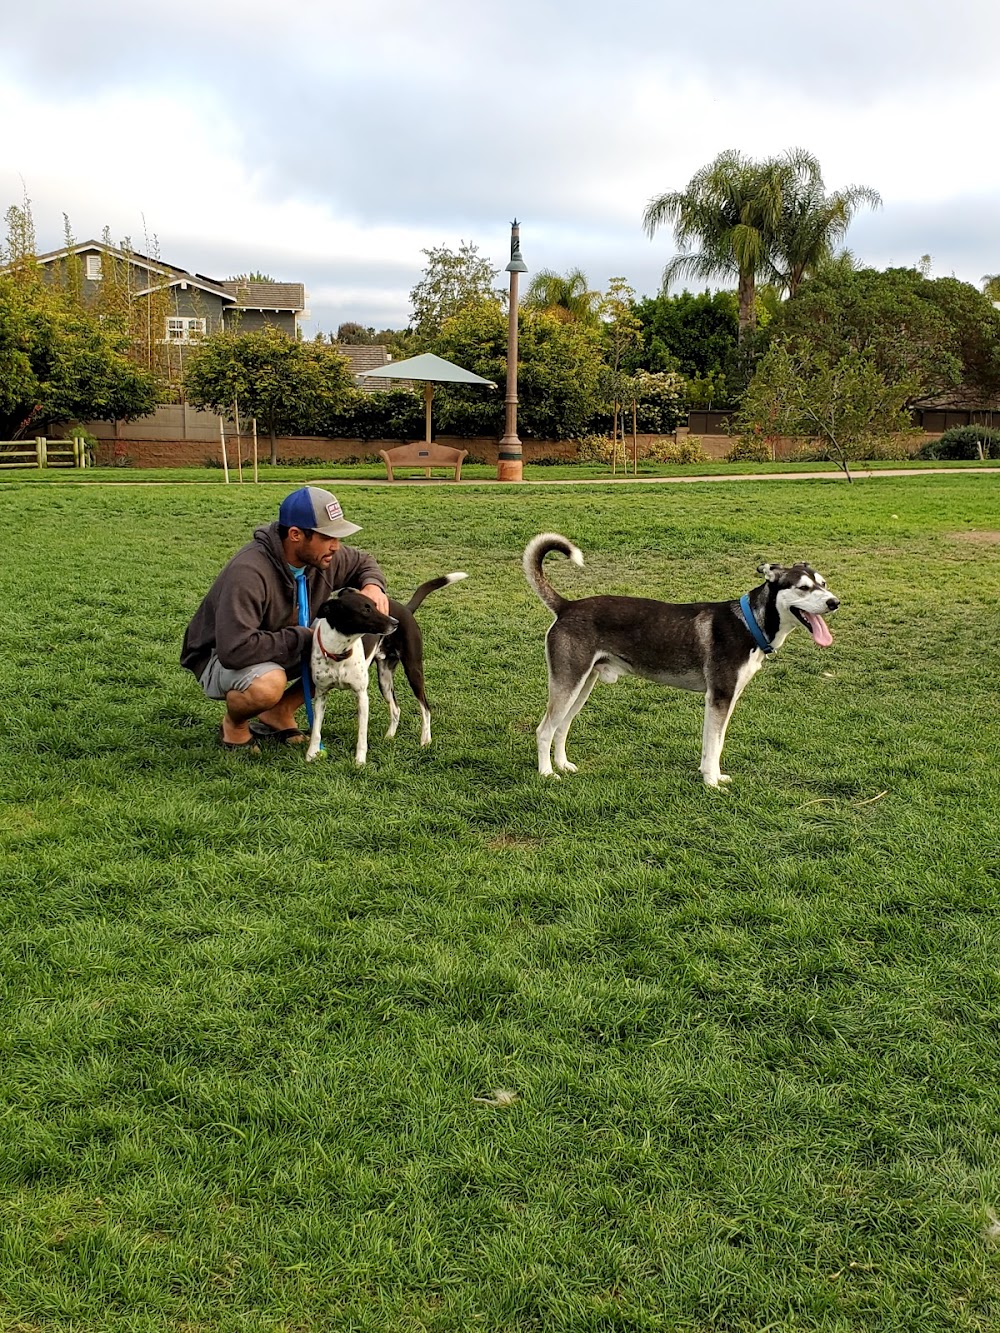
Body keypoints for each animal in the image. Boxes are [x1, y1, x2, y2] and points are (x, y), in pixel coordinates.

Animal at [305, 570, 466, 762]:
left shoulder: (362, 696)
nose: (395, 623)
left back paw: (425, 739)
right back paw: (390, 736)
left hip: (413, 671)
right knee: (396, 709)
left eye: (376, 604)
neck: (339, 651)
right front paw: (311, 754)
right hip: (384, 680)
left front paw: (360, 761)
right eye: (366, 609)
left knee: (425, 707)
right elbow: (316, 730)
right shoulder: (321, 694)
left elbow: (362, 735)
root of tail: (406, 609)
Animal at [528, 533, 842, 783]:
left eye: (824, 583)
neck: (749, 623)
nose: (834, 602)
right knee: (545, 729)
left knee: (561, 727)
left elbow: (714, 743)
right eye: (803, 588)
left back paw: (562, 765)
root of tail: (567, 606)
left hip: (583, 684)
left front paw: (711, 774)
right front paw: (712, 783)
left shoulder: (726, 699)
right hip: (569, 682)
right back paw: (547, 773)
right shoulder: (719, 697)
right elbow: (714, 744)